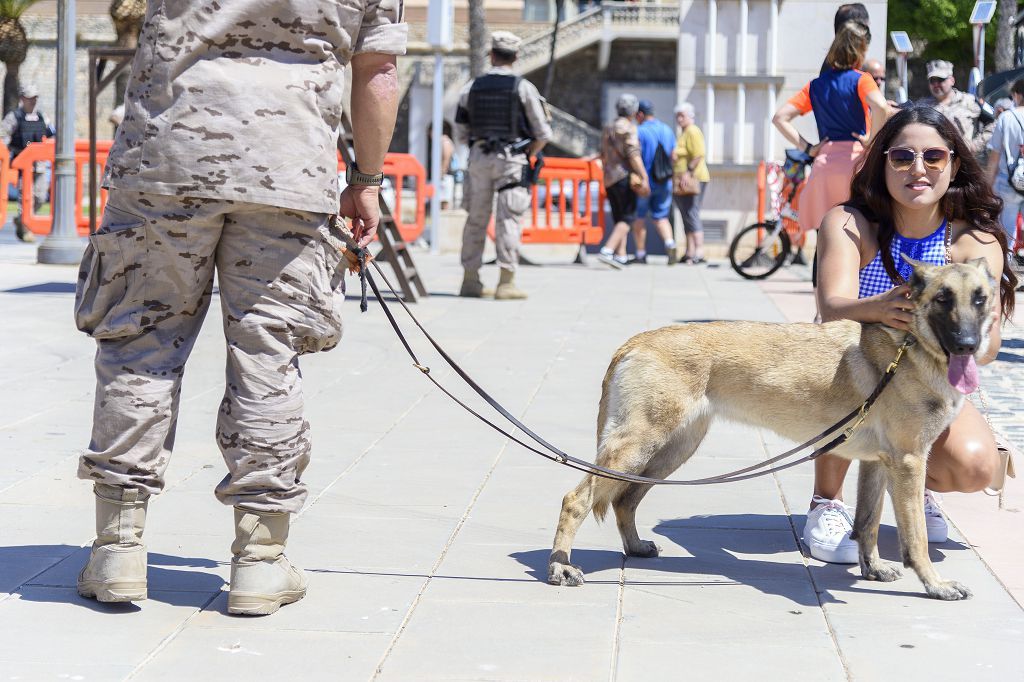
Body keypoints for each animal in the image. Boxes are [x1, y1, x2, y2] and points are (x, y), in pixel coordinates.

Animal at [548, 258, 995, 598]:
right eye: (942, 299)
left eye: (980, 299)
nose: (968, 344)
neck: (911, 348)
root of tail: (635, 341)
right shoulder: (908, 463)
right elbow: (915, 538)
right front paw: (936, 585)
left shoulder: (877, 464)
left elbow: (867, 524)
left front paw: (873, 569)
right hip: (639, 446)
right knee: (576, 498)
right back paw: (560, 567)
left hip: (670, 452)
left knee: (625, 500)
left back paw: (634, 546)